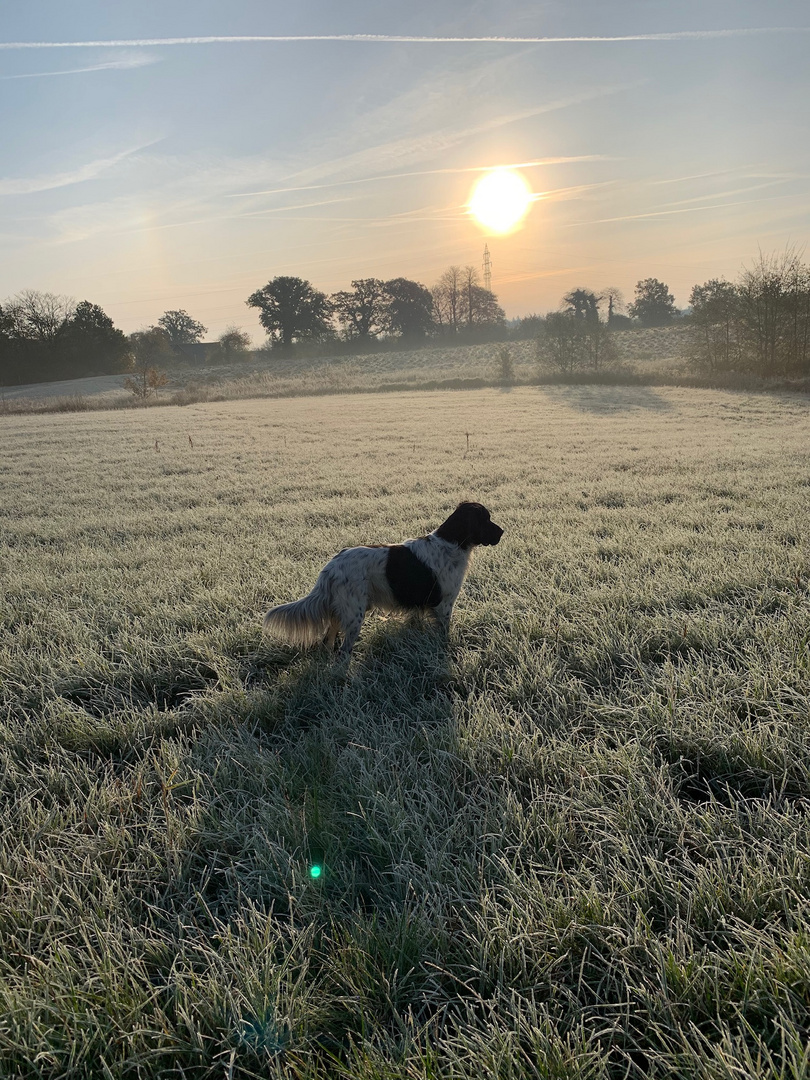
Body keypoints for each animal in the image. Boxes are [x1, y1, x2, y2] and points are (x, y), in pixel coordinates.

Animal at [263, 498, 505, 656]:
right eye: (486, 519)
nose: (502, 532)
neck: (450, 543)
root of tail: (331, 566)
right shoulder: (444, 605)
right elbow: (444, 633)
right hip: (354, 615)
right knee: (343, 652)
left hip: (341, 612)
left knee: (328, 641)